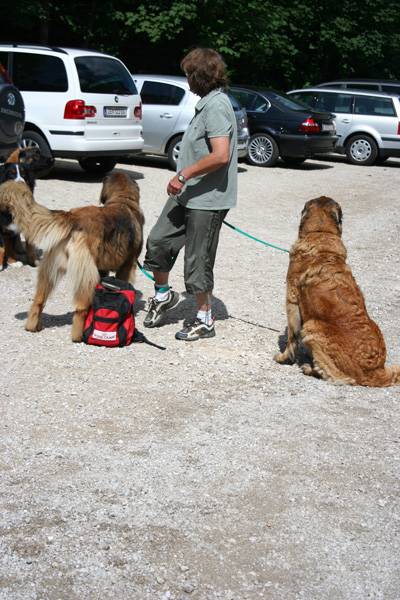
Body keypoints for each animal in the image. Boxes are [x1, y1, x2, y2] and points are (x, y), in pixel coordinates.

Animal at [276, 195, 400, 386]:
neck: (321, 234)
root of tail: (376, 372)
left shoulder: (291, 299)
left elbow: (291, 336)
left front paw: (283, 358)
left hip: (312, 326)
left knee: (340, 377)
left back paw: (310, 369)